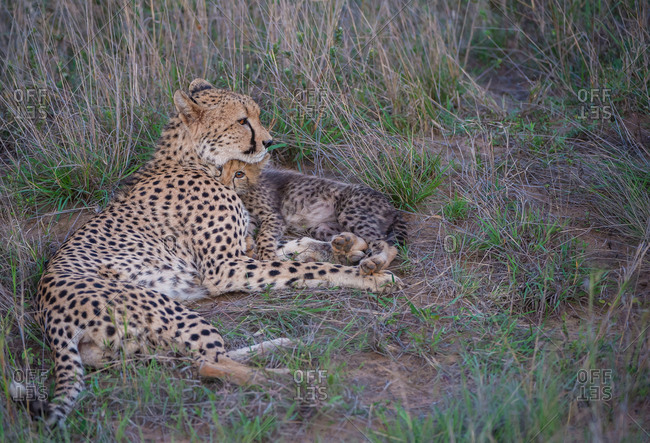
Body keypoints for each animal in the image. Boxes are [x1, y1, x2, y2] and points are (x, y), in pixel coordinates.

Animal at [214, 154, 408, 275]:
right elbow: (245, 229)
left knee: (385, 244)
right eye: (219, 170)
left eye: (239, 174)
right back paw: (345, 244)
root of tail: (391, 206)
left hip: (348, 211)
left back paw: (373, 262)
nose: (224, 185)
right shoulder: (251, 216)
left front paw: (267, 255)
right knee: (362, 240)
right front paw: (248, 244)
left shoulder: (273, 215)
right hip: (321, 227)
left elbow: (264, 235)